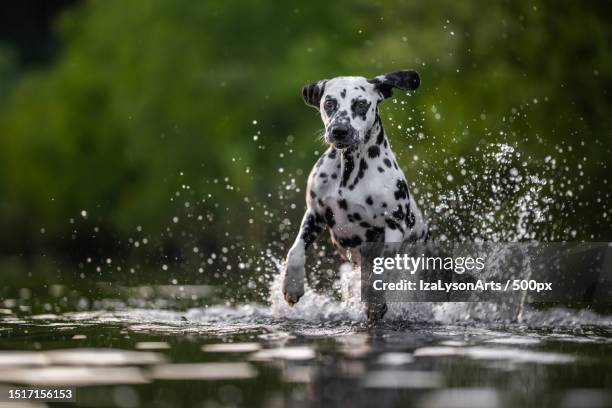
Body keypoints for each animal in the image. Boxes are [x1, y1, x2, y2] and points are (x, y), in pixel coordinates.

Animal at [280, 70, 426, 320]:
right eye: (329, 103)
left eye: (360, 104)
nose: (339, 130)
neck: (350, 171)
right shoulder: (315, 214)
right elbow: (296, 250)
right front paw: (292, 285)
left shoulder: (394, 225)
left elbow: (380, 268)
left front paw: (374, 302)